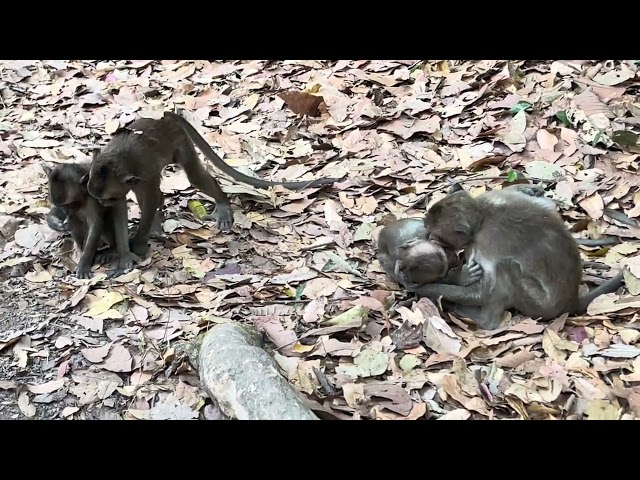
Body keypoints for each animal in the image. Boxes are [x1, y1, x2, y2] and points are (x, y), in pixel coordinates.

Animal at [85, 111, 344, 258]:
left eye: (106, 198)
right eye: (99, 199)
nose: (103, 204)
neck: (121, 161)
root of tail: (165, 117)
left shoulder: (144, 175)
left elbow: (149, 201)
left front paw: (137, 246)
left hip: (178, 140)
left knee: (194, 176)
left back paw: (222, 203)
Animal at [404, 185, 624, 330]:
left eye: (437, 236)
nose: (429, 237)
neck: (481, 216)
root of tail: (569, 302)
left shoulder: (486, 242)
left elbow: (483, 291)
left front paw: (429, 288)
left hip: (537, 304)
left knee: (506, 267)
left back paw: (483, 320)